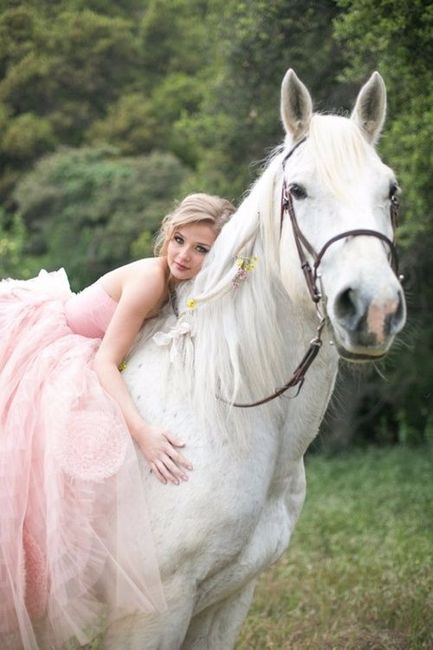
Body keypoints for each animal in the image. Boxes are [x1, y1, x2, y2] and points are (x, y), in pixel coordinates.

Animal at [106, 69, 406, 649]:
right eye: (298, 190)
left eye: (391, 191)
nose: (374, 309)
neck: (218, 410)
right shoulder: (152, 614)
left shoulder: (227, 601)